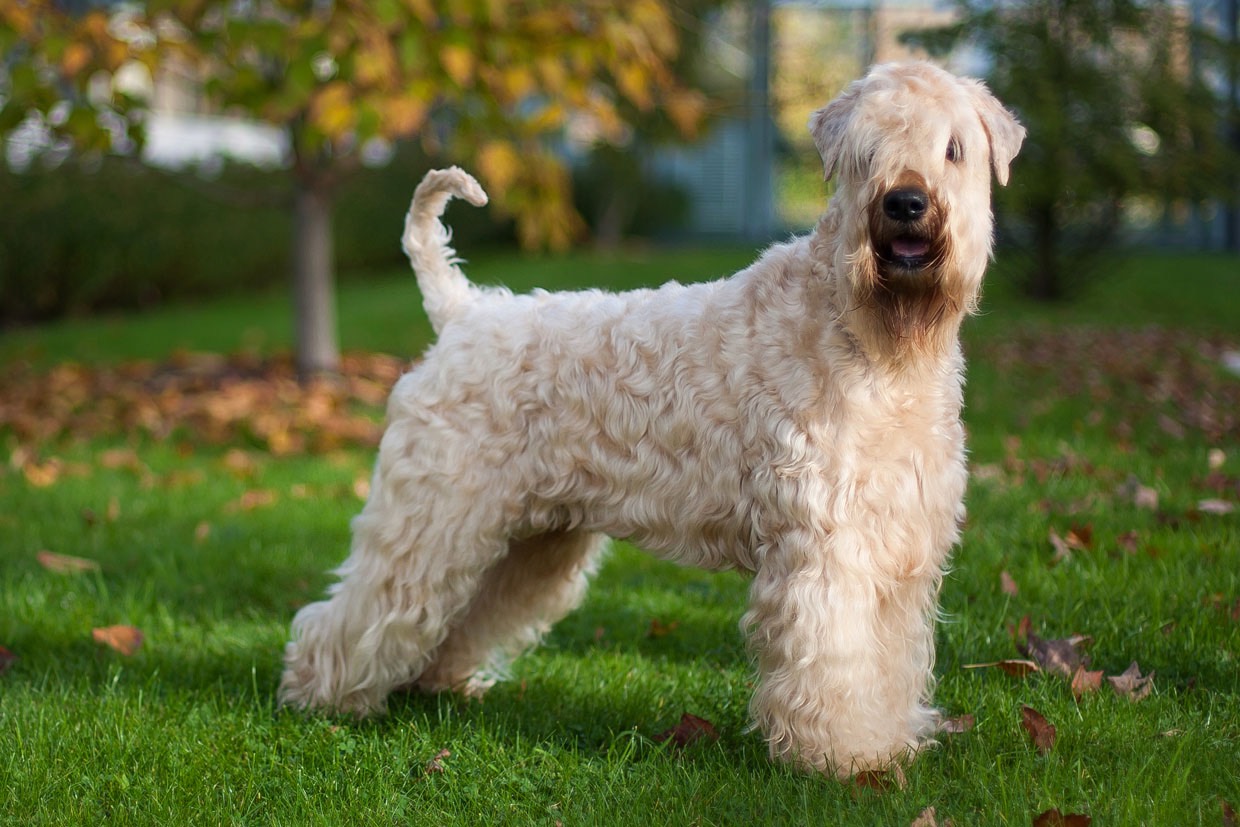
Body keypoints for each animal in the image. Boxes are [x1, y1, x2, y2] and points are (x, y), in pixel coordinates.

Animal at [281, 61, 1026, 778]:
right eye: (865, 151)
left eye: (953, 148)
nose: (905, 202)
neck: (870, 339)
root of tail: (464, 311)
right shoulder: (827, 547)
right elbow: (835, 657)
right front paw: (846, 756)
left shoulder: (901, 543)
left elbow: (890, 659)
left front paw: (892, 739)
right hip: (434, 517)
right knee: (361, 609)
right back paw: (322, 700)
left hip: (529, 539)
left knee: (464, 611)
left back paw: (437, 683)